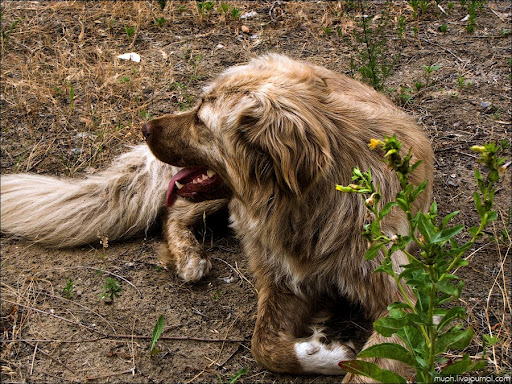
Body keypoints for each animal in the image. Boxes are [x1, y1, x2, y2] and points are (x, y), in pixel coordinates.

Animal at [1, 54, 432, 380]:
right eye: (196, 107)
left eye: (200, 120)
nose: (144, 126)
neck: (307, 205)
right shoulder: (280, 278)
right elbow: (262, 346)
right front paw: (322, 353)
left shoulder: (406, 303)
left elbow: (363, 368)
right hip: (222, 205)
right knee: (173, 212)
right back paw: (189, 257)